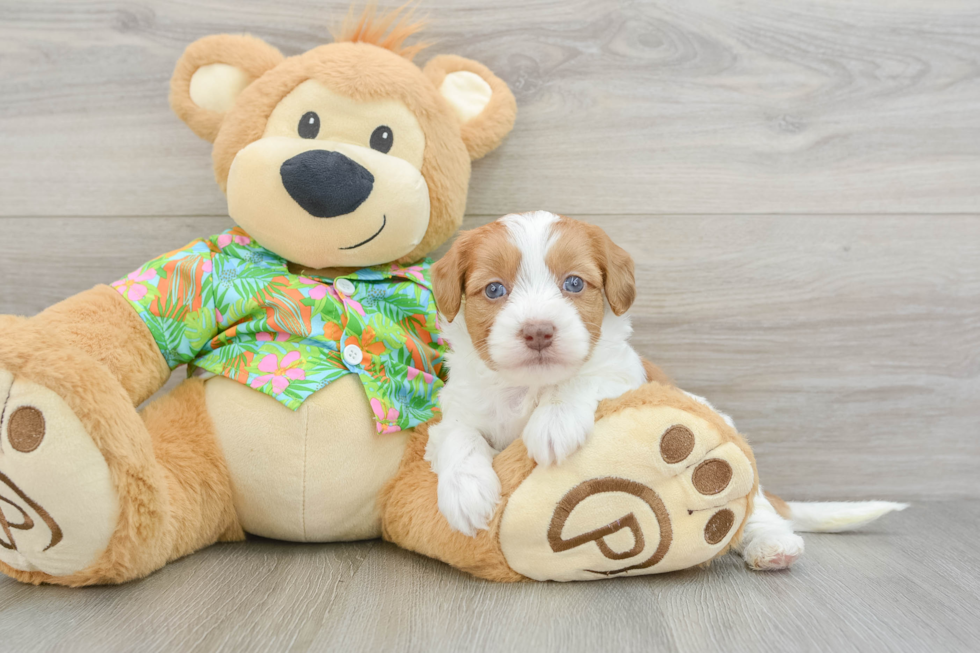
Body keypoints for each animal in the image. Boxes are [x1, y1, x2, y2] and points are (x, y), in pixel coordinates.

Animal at [424, 211, 648, 532]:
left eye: (574, 283)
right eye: (494, 289)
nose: (538, 332)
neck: (528, 386)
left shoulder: (625, 373)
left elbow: (581, 378)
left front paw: (554, 422)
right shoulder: (457, 409)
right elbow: (458, 433)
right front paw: (465, 491)